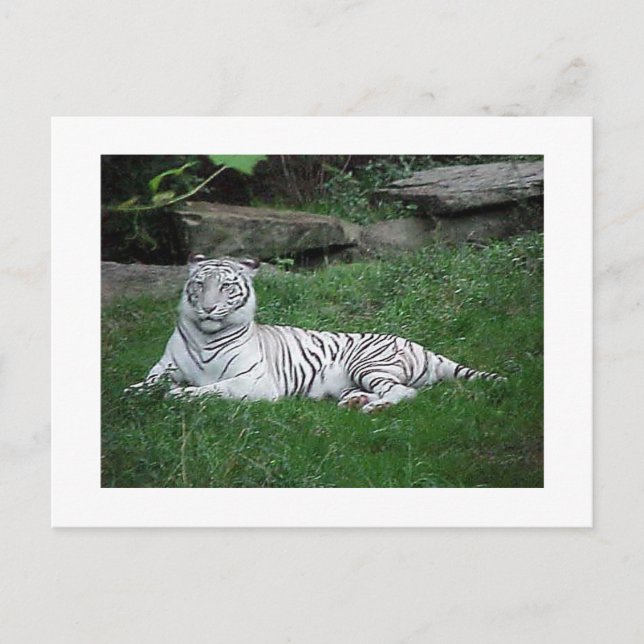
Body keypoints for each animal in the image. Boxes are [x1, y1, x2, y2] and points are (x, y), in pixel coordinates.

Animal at [127, 255, 504, 413]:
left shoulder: (254, 382)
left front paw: (180, 395)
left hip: (368, 364)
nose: (207, 308)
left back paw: (374, 408)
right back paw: (354, 402)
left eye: (226, 287)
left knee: (404, 392)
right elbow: (146, 384)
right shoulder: (163, 368)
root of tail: (423, 347)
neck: (206, 334)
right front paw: (135, 393)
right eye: (199, 285)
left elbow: (214, 389)